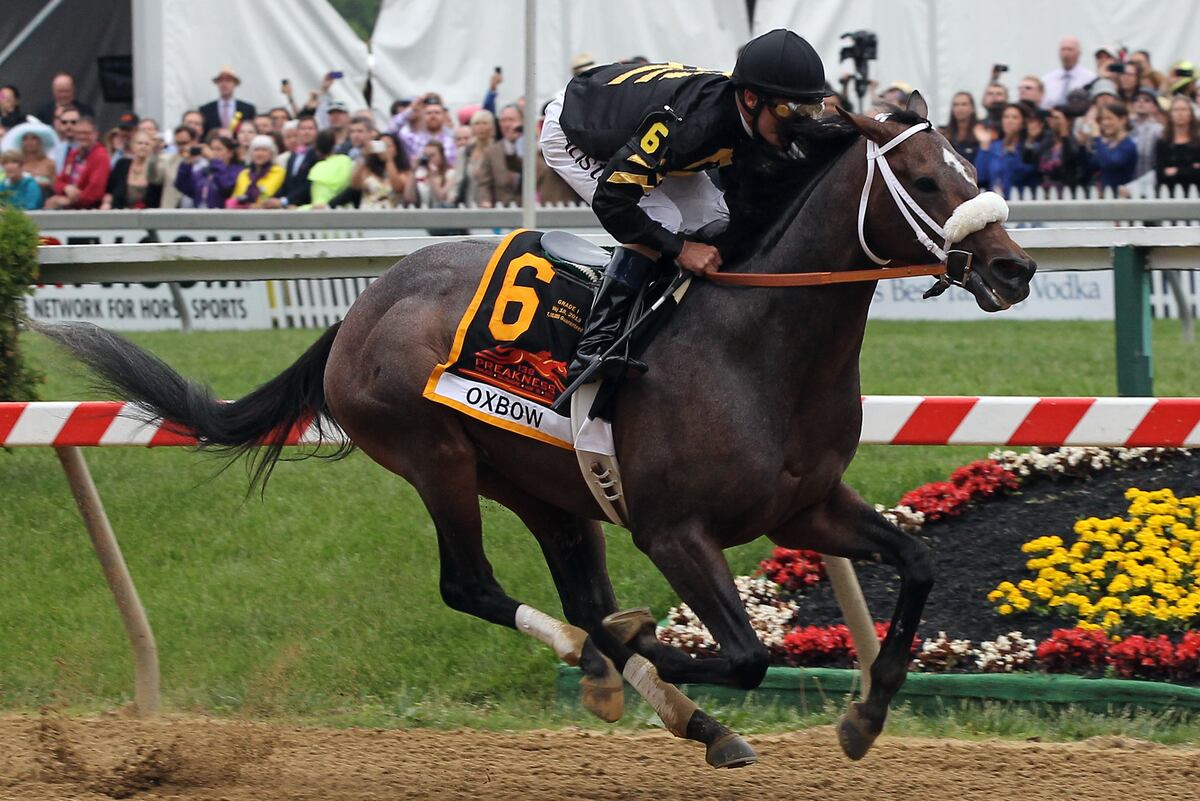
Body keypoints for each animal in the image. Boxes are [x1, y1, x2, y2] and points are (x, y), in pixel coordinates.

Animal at [36, 94, 1035, 768]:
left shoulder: (805, 505)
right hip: (435, 457)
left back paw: (674, 706)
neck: (757, 346)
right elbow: (746, 653)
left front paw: (865, 716)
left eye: (974, 169)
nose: (1014, 268)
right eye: (923, 178)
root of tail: (365, 303)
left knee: (578, 591)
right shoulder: (677, 531)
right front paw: (640, 652)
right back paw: (606, 665)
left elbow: (919, 561)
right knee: (473, 585)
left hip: (545, 487)